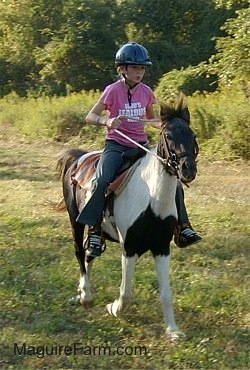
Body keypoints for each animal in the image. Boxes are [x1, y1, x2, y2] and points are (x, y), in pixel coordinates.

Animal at [55, 96, 198, 342]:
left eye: (192, 134)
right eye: (168, 135)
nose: (187, 169)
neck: (151, 199)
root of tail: (78, 157)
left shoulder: (162, 248)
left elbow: (166, 293)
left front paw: (173, 330)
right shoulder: (129, 248)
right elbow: (127, 292)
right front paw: (113, 308)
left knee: (90, 254)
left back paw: (83, 291)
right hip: (75, 220)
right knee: (79, 252)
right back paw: (86, 296)